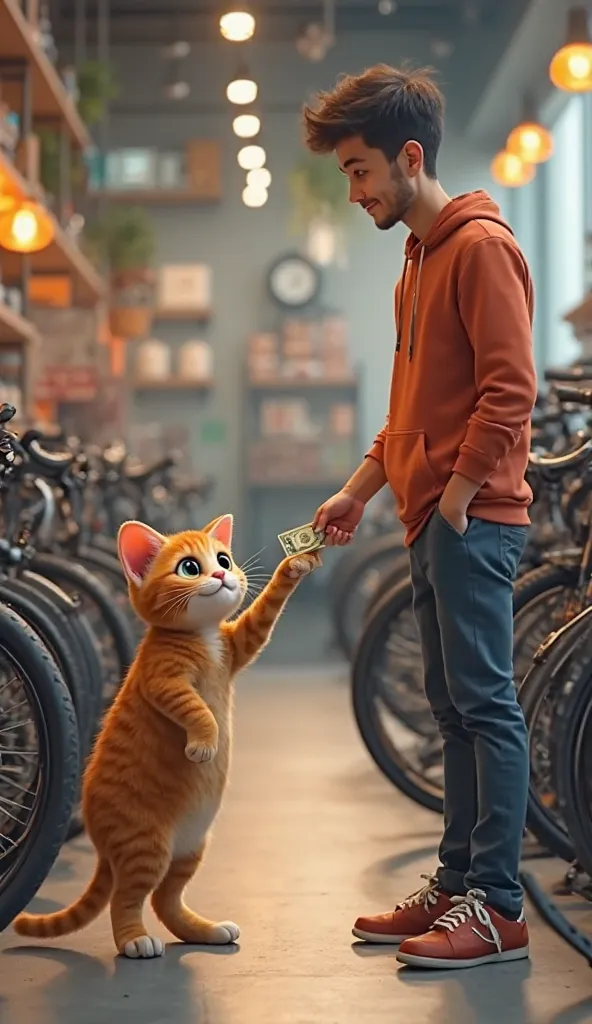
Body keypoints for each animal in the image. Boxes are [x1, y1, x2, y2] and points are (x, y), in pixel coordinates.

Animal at [12, 516, 317, 954]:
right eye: (190, 568)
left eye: (223, 559)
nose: (221, 575)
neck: (203, 637)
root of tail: (102, 845)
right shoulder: (164, 681)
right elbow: (196, 709)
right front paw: (204, 742)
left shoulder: (238, 643)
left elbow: (263, 612)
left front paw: (294, 567)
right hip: (146, 845)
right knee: (126, 898)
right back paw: (134, 939)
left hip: (190, 846)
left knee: (165, 899)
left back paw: (205, 931)